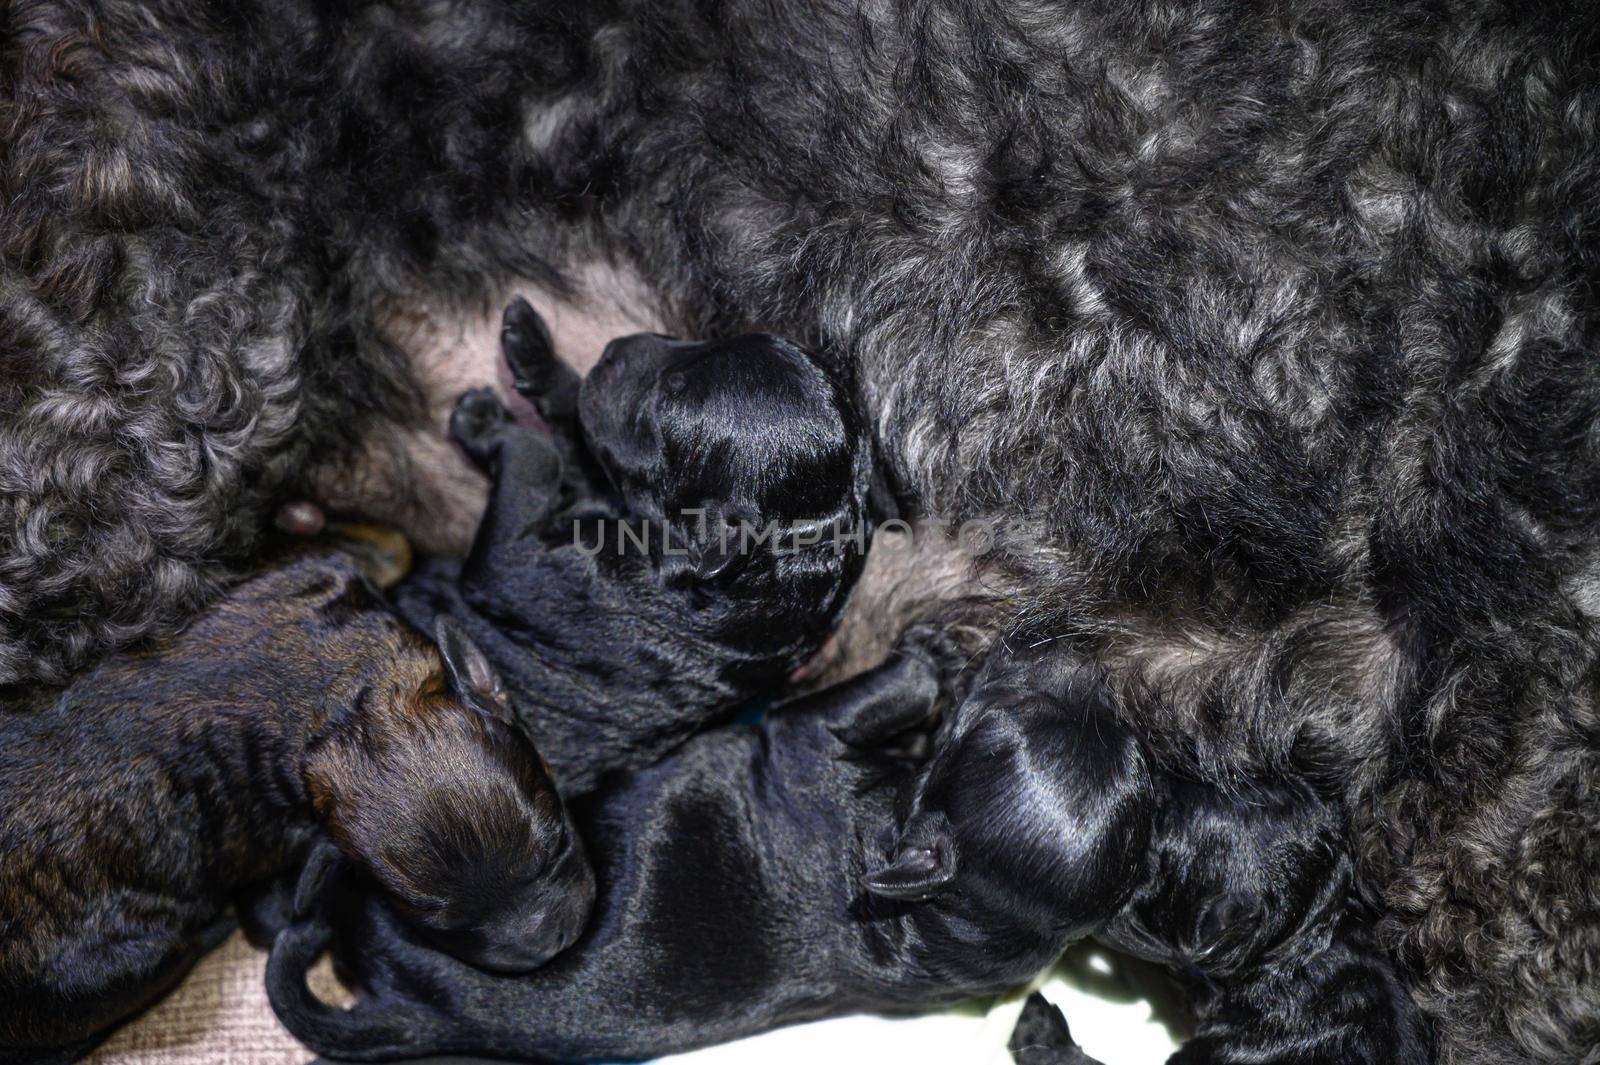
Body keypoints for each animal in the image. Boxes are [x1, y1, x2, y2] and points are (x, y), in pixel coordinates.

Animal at [398, 295, 876, 786]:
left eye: (668, 398)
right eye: (705, 340)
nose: (612, 349)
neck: (792, 554)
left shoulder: (532, 570)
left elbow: (538, 458)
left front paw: (486, 421)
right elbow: (581, 443)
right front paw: (537, 352)